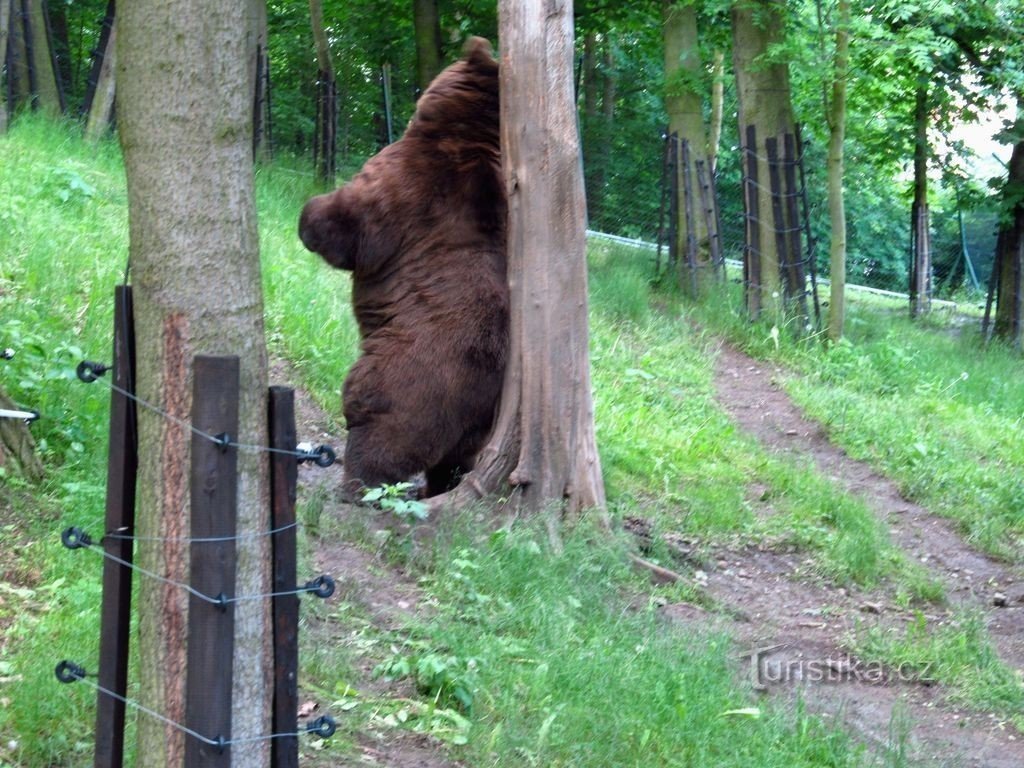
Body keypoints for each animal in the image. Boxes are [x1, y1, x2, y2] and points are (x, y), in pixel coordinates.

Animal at [296, 37, 507, 499]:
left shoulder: (403, 186)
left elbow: (345, 228)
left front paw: (310, 211)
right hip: (483, 425)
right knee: (455, 462)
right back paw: (435, 489)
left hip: (407, 381)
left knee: (380, 430)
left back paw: (356, 485)